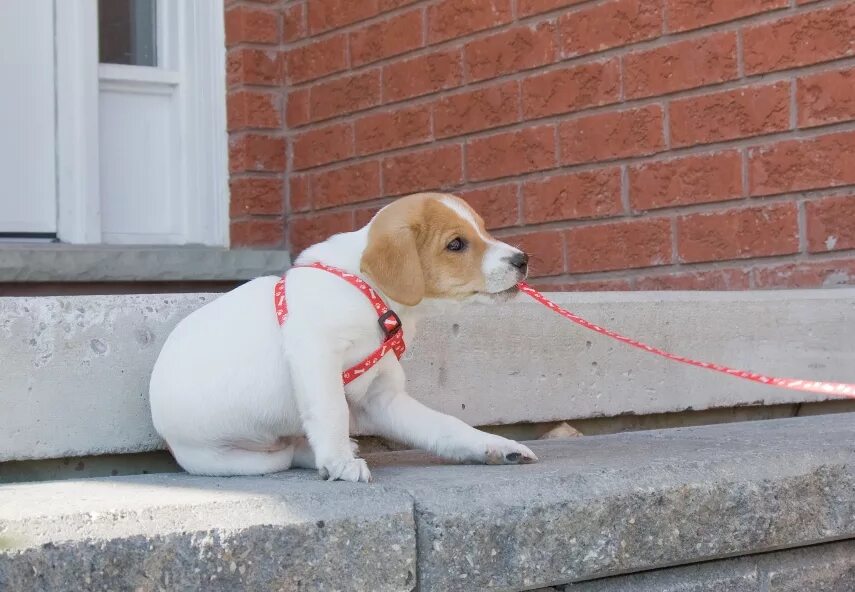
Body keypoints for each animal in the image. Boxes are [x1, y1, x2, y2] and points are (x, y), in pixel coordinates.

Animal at [147, 193, 536, 480]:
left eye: (483, 230)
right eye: (456, 244)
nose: (523, 259)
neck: (370, 294)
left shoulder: (383, 398)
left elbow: (445, 425)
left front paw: (493, 446)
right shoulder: (315, 354)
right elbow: (333, 409)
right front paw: (339, 463)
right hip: (233, 458)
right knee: (284, 455)